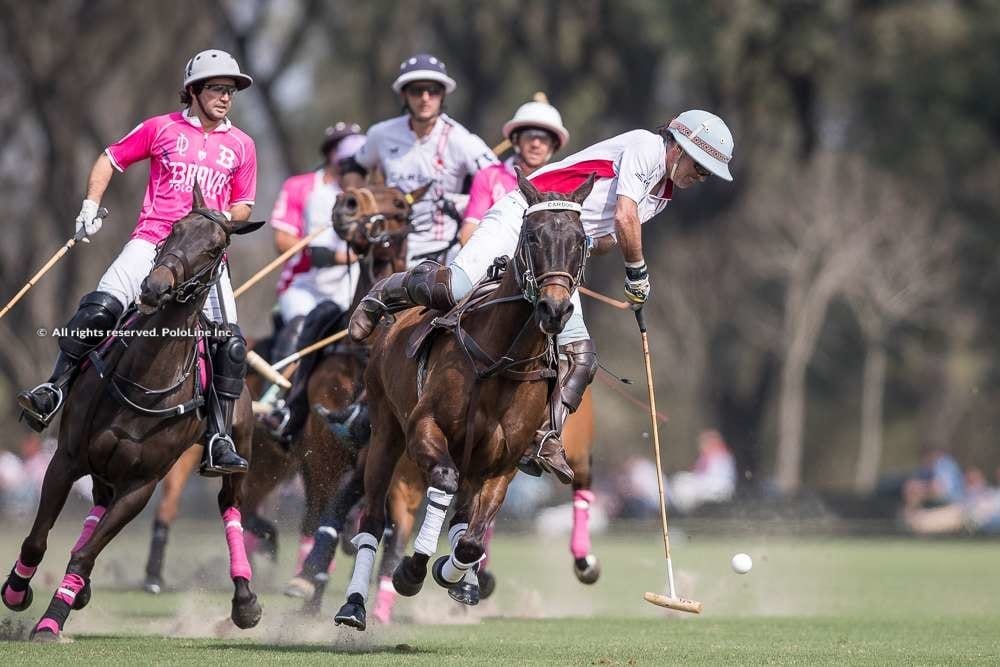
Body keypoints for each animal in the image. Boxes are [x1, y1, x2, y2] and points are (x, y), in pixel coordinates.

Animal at [0, 187, 264, 640]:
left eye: (216, 248)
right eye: (173, 229)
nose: (155, 286)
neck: (145, 378)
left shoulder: (140, 486)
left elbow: (84, 556)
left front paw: (51, 621)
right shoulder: (66, 459)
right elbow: (37, 539)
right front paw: (18, 590)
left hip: (237, 451)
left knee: (231, 506)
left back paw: (245, 600)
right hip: (101, 467)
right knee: (100, 306)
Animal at [334, 172, 592, 632]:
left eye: (580, 240)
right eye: (532, 236)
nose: (555, 308)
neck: (501, 359)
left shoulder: (503, 463)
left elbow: (471, 539)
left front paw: (451, 573)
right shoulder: (425, 429)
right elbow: (441, 484)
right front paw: (411, 571)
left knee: (459, 519)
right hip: (385, 433)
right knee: (374, 520)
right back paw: (354, 607)